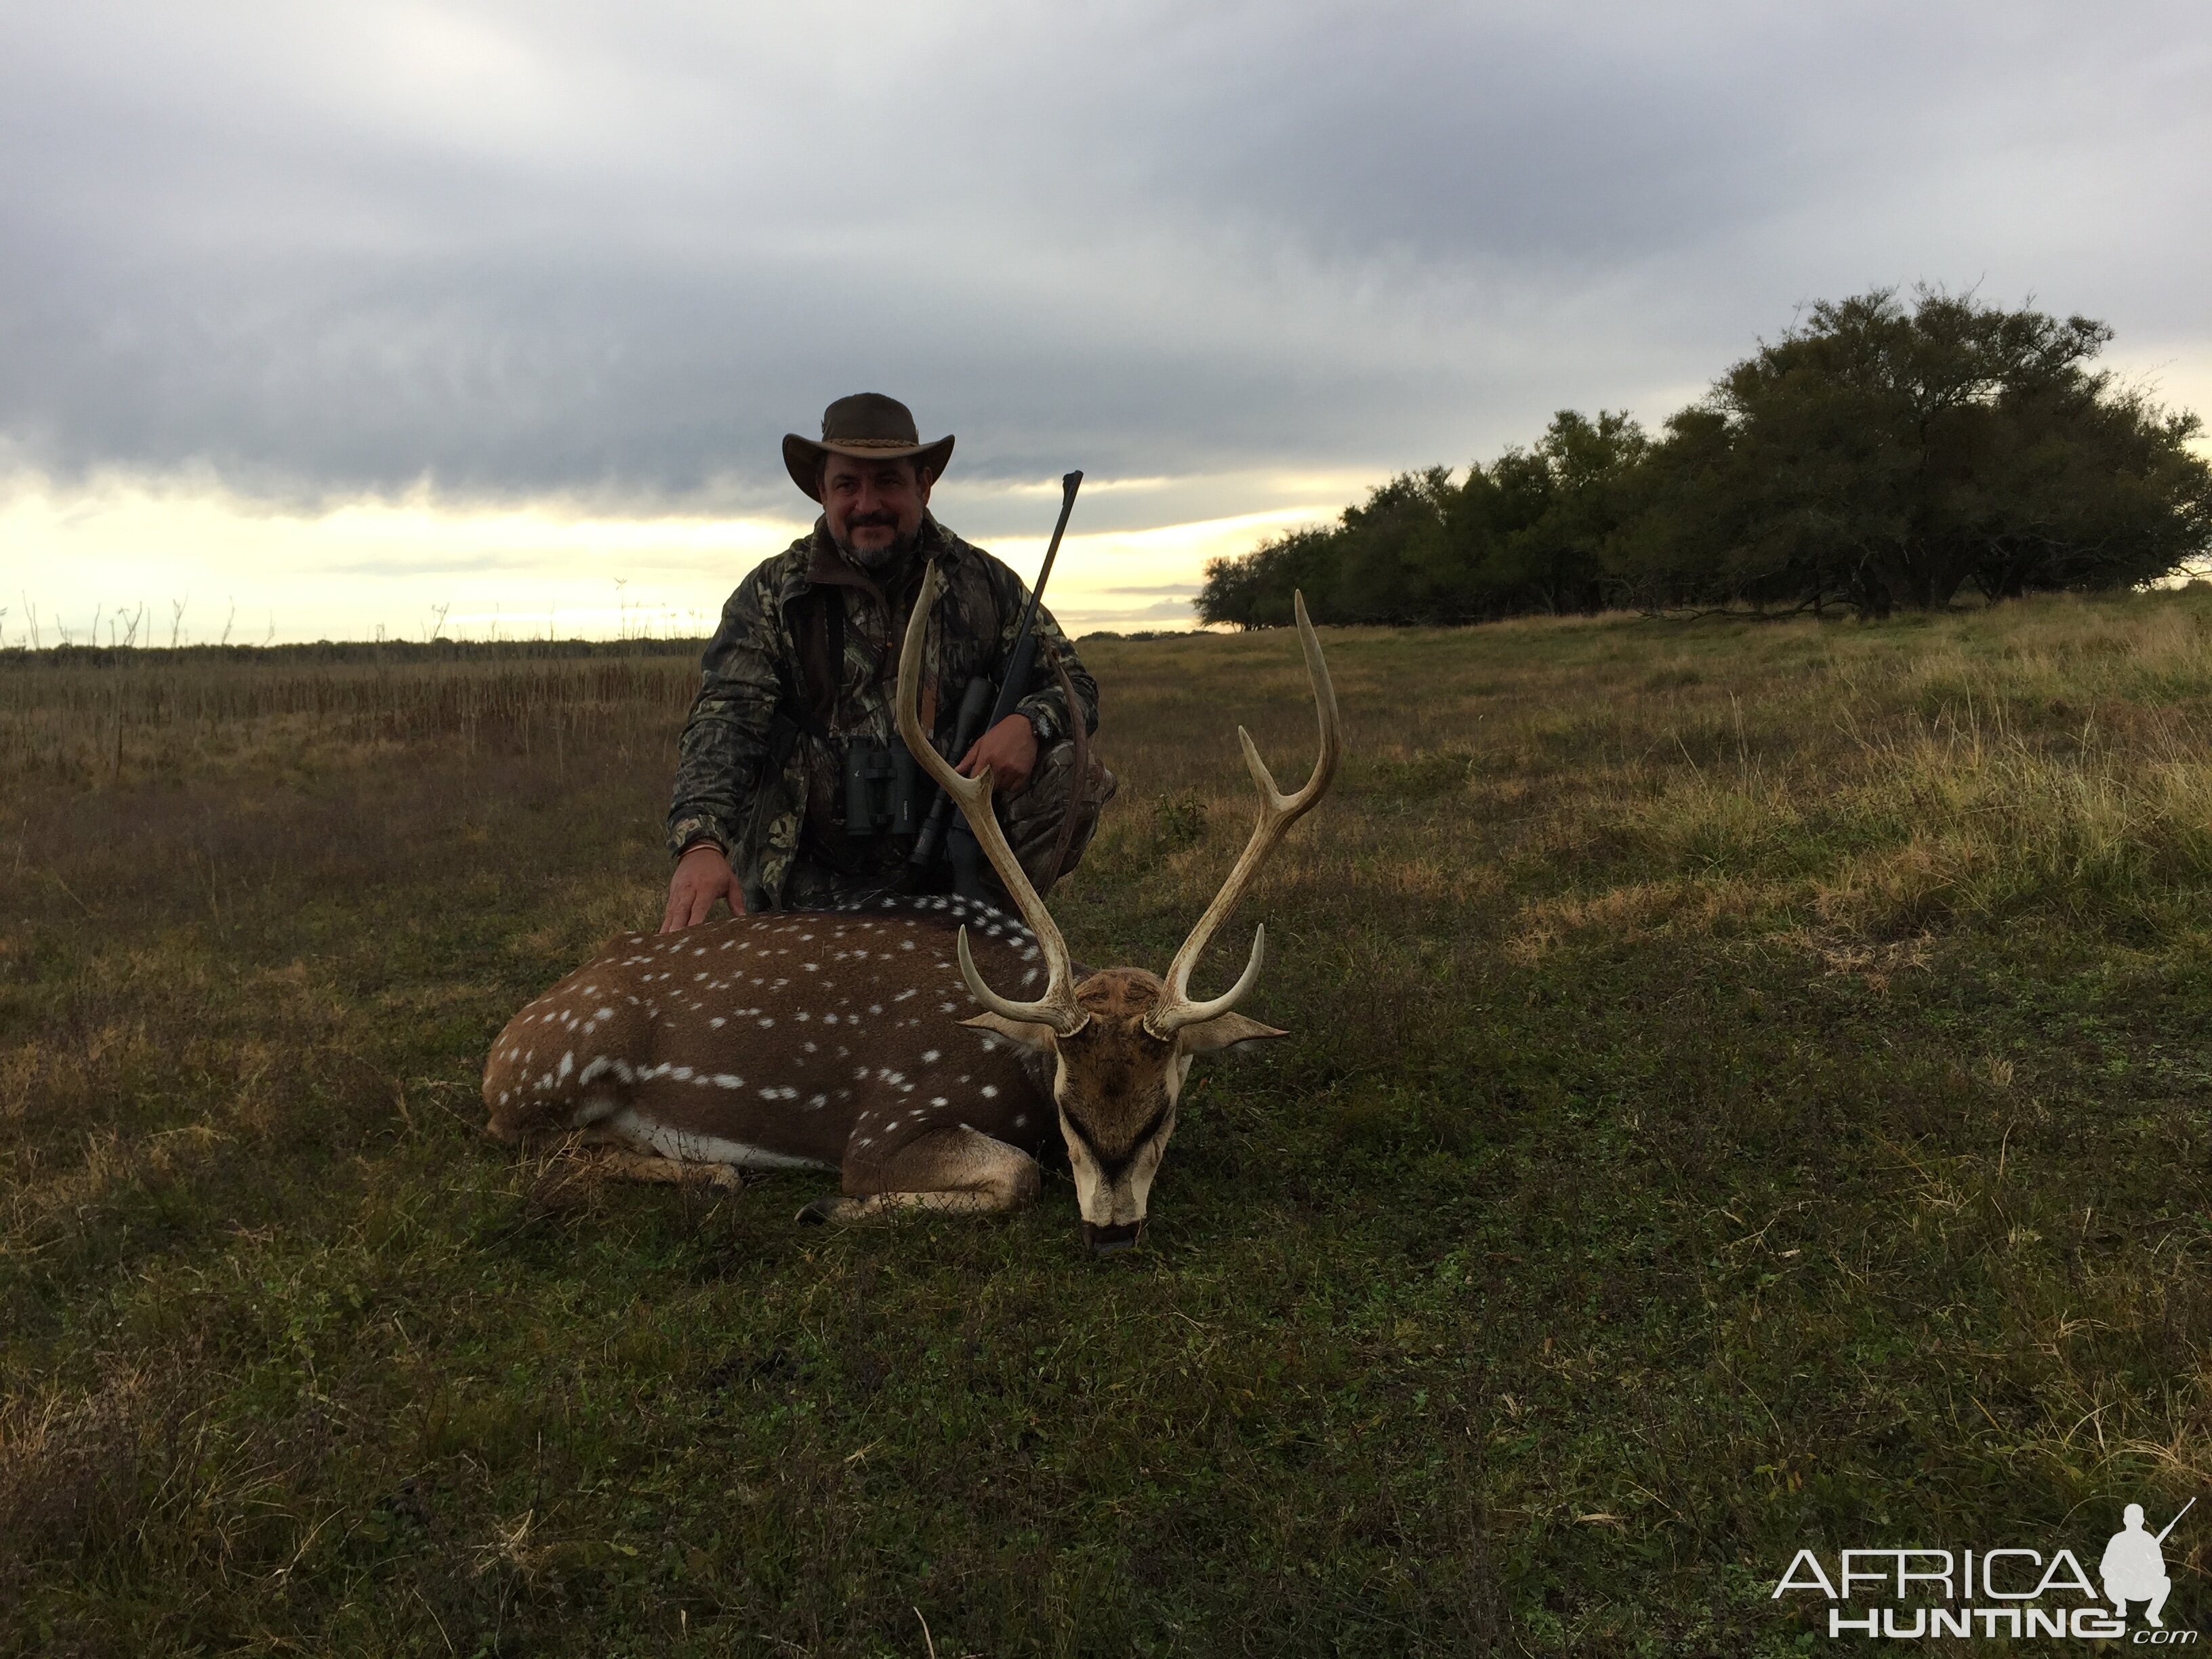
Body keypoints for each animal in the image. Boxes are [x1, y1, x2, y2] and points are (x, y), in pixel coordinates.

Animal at [487, 579, 1336, 1256]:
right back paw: (714, 1170)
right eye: (1068, 1106)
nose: (1113, 1232)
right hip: (558, 1074)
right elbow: (1017, 1174)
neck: (1013, 1058)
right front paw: (824, 1207)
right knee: (547, 1149)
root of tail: (498, 1056)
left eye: (1163, 1111)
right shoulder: (889, 1117)